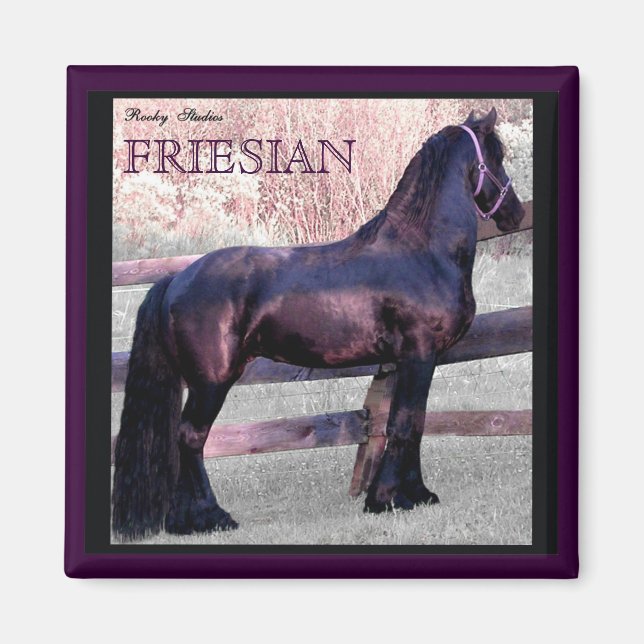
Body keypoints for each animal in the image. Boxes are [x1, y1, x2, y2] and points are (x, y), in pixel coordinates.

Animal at [112, 107, 525, 540]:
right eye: (497, 155)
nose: (516, 213)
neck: (422, 250)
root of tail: (176, 279)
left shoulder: (410, 361)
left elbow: (412, 421)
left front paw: (414, 494)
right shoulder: (419, 354)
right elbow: (404, 424)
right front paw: (388, 499)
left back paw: (184, 522)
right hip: (211, 382)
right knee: (191, 438)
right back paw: (213, 516)